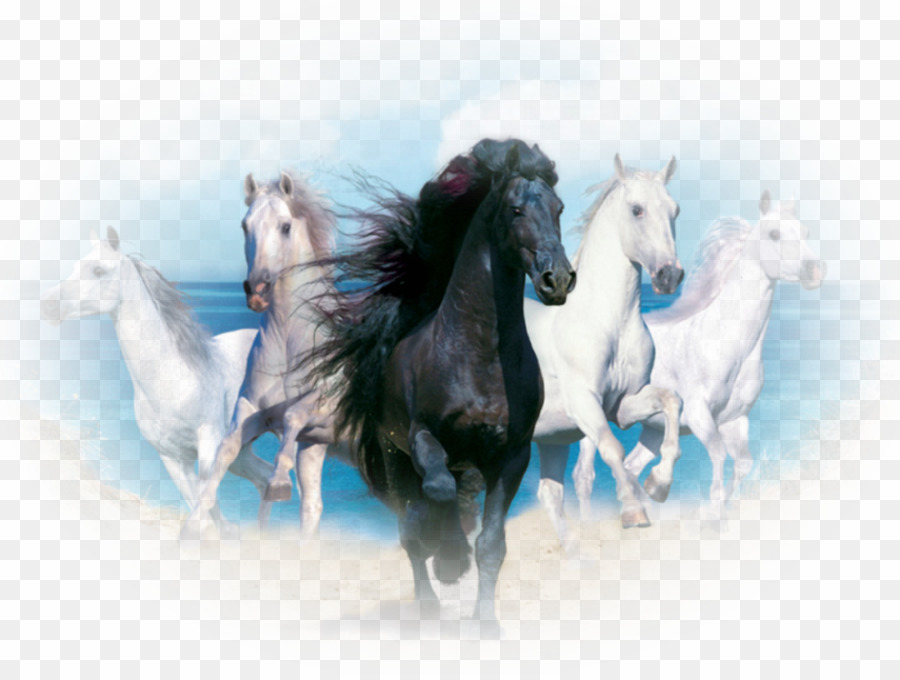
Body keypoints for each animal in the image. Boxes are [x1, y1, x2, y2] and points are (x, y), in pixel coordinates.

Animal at [40, 227, 276, 530]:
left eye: (98, 270)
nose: (47, 305)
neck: (171, 378)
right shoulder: (174, 459)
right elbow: (205, 513)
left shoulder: (209, 446)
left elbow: (207, 506)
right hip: (241, 452)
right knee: (266, 477)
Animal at [180, 171, 342, 540]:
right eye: (245, 225)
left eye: (285, 226)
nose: (257, 290)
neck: (290, 341)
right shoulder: (256, 410)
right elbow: (227, 448)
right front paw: (194, 523)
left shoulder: (324, 403)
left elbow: (293, 415)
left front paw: (279, 483)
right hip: (317, 448)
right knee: (313, 506)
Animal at [309, 139, 575, 624]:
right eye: (515, 209)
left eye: (558, 207)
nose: (558, 279)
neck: (480, 356)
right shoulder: (423, 438)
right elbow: (438, 491)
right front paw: (451, 558)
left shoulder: (512, 456)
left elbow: (491, 544)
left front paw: (485, 620)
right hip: (395, 458)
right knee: (412, 526)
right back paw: (431, 600)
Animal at [524, 155, 684, 545]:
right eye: (637, 209)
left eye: (675, 210)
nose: (669, 276)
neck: (608, 324)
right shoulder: (584, 403)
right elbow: (612, 448)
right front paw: (633, 512)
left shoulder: (623, 404)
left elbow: (672, 400)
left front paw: (659, 484)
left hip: (551, 438)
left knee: (549, 494)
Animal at [616, 190, 825, 518]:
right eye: (774, 234)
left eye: (805, 232)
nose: (814, 271)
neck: (726, 343)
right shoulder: (699, 415)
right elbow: (717, 453)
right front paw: (706, 508)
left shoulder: (735, 419)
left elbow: (743, 464)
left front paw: (718, 512)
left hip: (652, 428)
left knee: (630, 465)